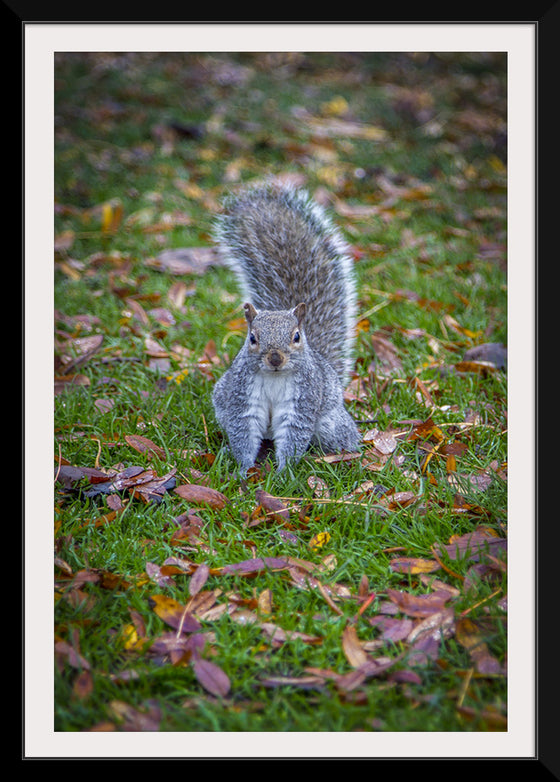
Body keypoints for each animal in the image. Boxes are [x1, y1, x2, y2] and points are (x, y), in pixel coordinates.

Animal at [212, 184, 360, 474]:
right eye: (252, 338)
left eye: (296, 336)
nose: (275, 358)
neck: (275, 377)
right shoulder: (241, 396)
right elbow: (243, 431)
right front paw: (243, 469)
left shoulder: (303, 400)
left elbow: (294, 433)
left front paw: (284, 472)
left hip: (329, 423)